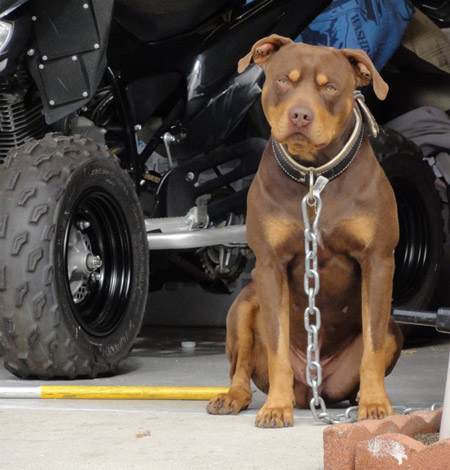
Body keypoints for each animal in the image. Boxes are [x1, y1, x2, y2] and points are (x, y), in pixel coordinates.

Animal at [206, 35, 402, 428]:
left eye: (330, 87)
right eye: (284, 80)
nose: (300, 114)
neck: (315, 174)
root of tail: (314, 391)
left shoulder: (378, 260)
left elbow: (373, 345)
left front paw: (375, 404)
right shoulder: (270, 265)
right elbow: (278, 345)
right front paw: (275, 408)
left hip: (394, 329)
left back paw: (360, 398)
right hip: (243, 305)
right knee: (241, 366)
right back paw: (234, 397)